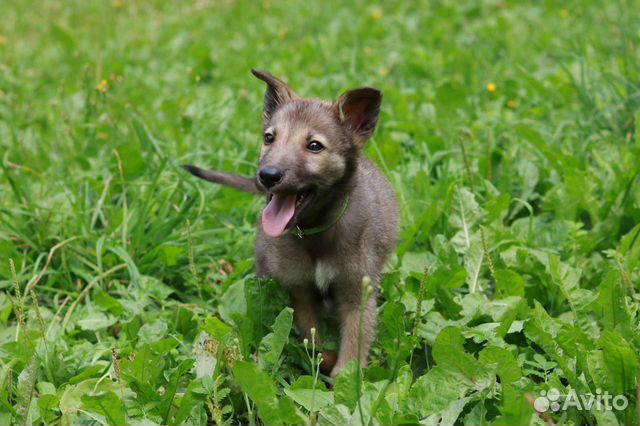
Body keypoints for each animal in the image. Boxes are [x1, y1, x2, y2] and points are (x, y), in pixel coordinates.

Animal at [182, 70, 398, 376]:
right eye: (269, 138)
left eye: (314, 146)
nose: (267, 175)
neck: (316, 232)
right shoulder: (299, 291)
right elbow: (314, 344)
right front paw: (323, 362)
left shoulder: (358, 294)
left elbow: (352, 351)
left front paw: (345, 380)